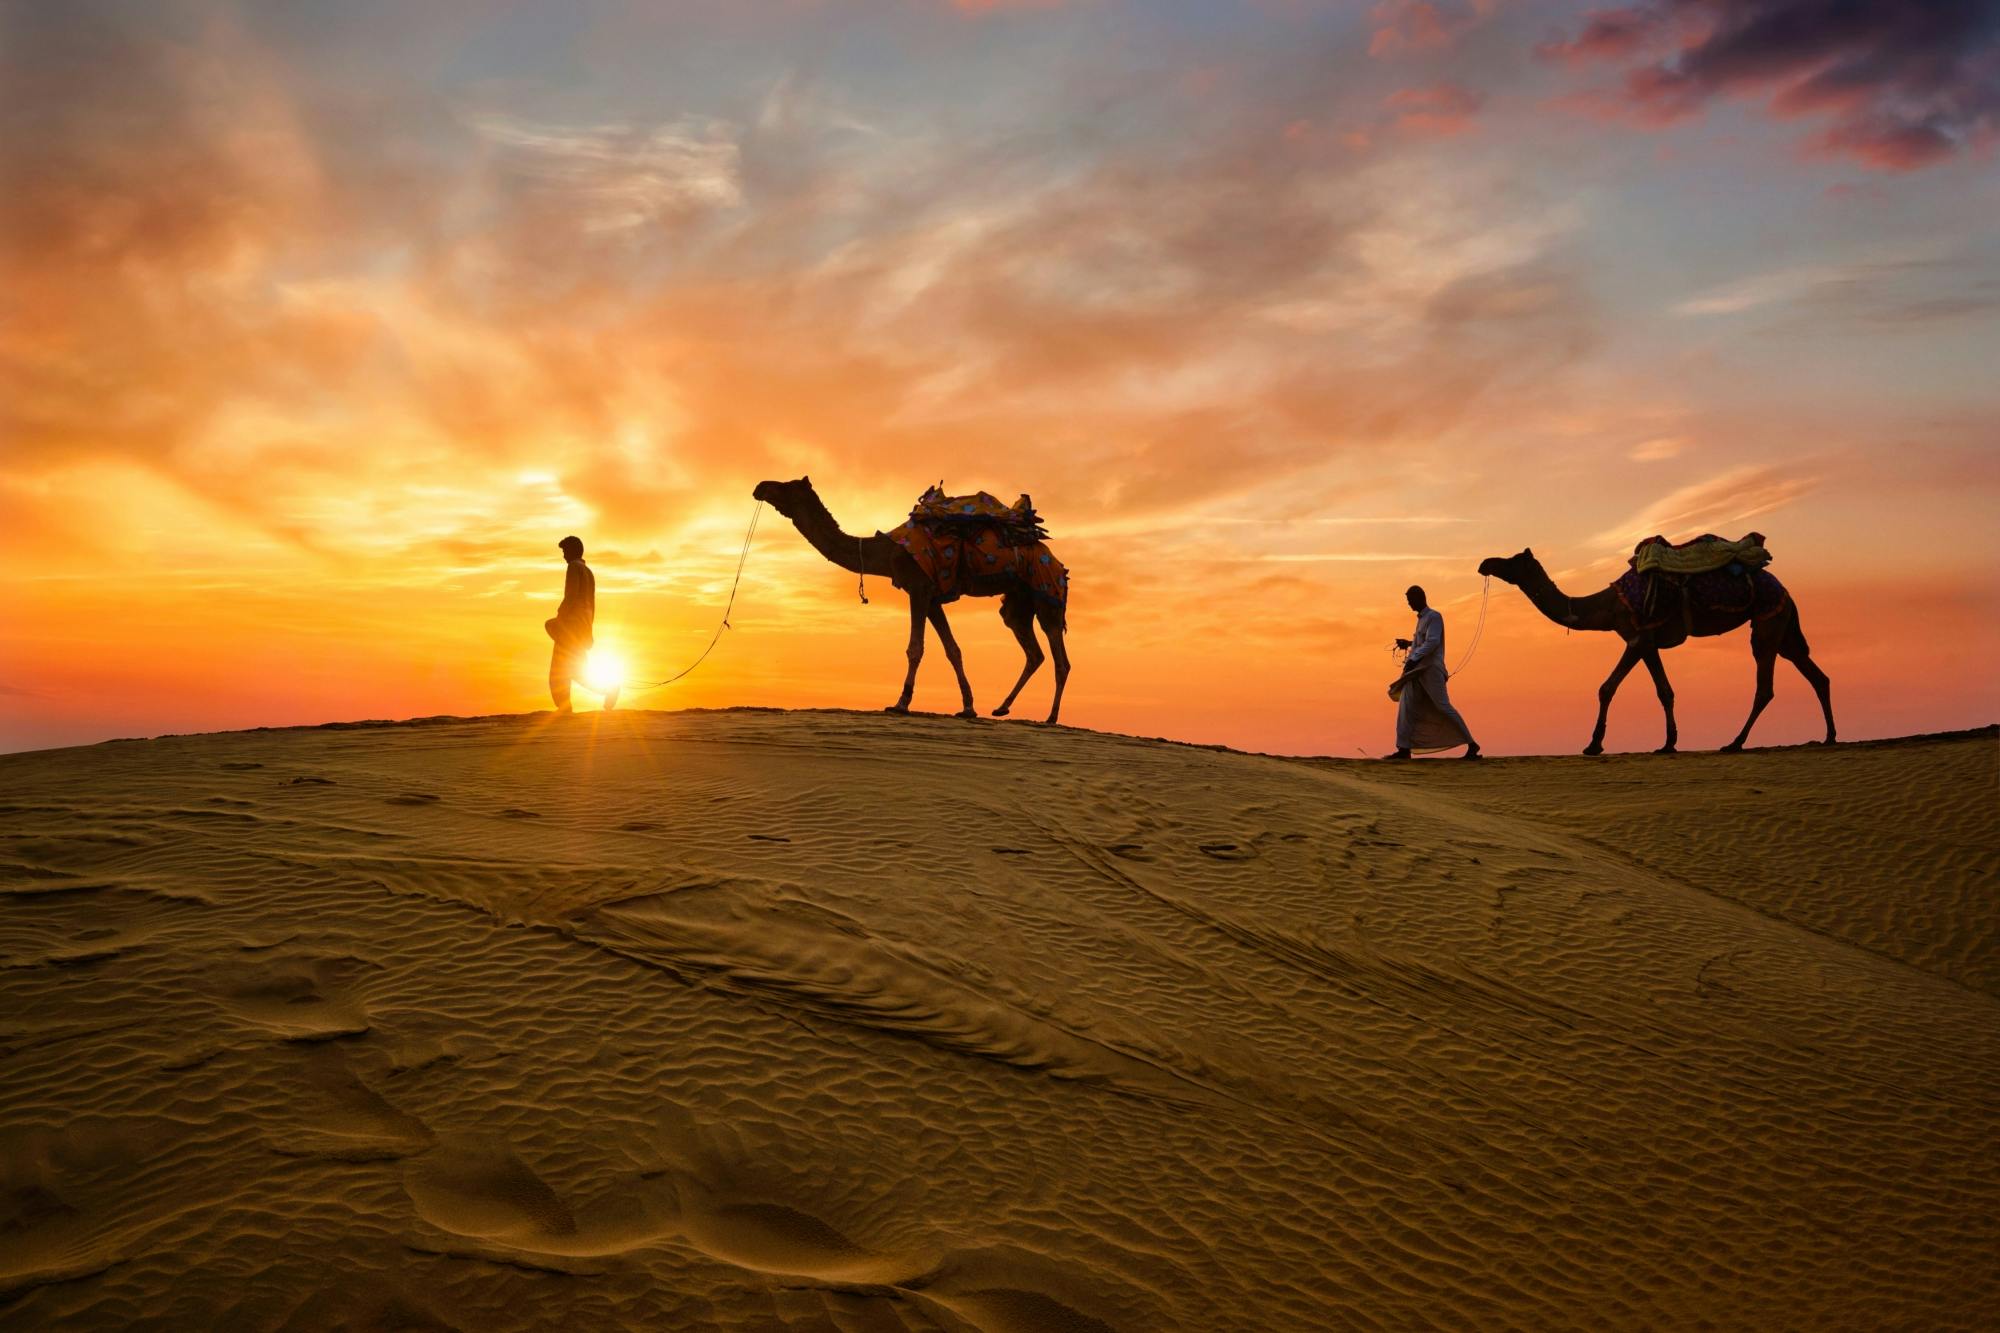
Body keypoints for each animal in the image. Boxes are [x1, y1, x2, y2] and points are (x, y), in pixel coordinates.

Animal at [752, 478, 1072, 720]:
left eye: (786, 486)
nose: (759, 486)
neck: (885, 552)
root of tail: (1060, 567)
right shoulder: (932, 596)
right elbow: (953, 649)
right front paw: (968, 707)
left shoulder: (917, 588)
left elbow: (915, 647)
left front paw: (900, 703)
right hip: (1018, 603)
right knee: (1033, 651)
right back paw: (1002, 707)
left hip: (1047, 593)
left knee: (1060, 658)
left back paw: (1051, 718)